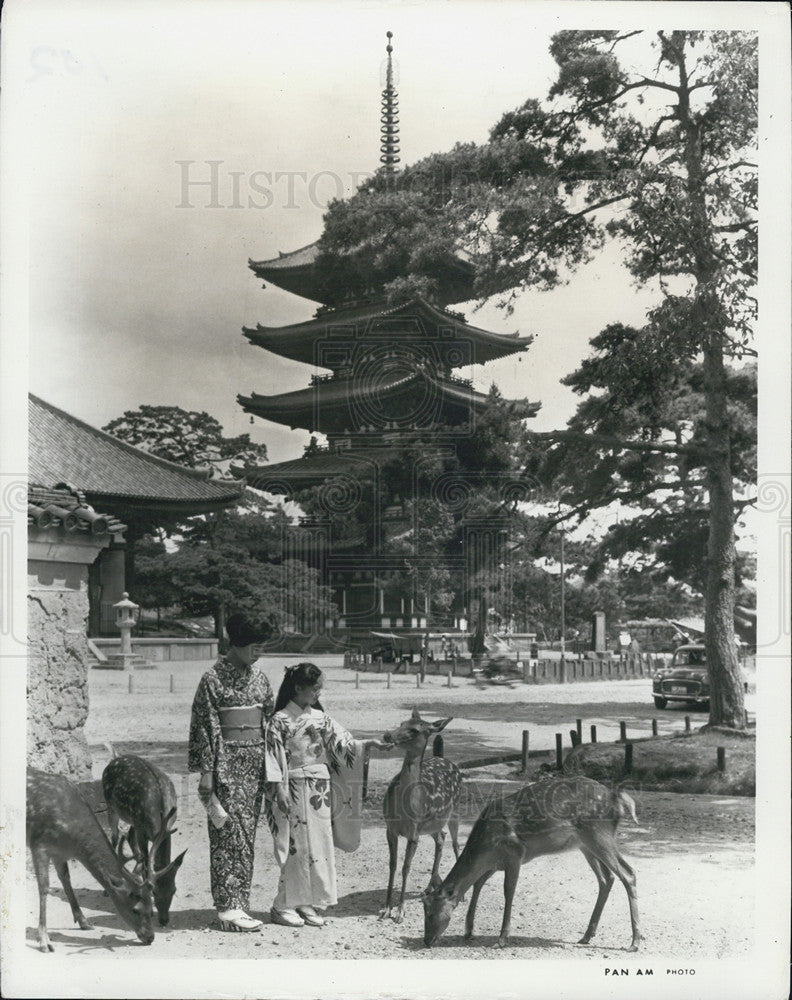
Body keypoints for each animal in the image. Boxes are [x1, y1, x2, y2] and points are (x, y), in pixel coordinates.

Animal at [25, 764, 161, 952]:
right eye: (135, 909)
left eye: (152, 909)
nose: (150, 937)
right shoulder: (39, 844)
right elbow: (44, 888)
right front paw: (44, 941)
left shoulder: (60, 852)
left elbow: (65, 878)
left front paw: (83, 921)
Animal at [101, 752, 186, 924]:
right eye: (154, 892)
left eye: (174, 890)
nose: (164, 920)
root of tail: (115, 758)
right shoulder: (142, 831)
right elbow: (147, 862)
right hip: (111, 806)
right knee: (115, 837)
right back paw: (108, 888)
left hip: (132, 818)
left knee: (129, 835)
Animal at [378, 712, 464, 920]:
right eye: (402, 722)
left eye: (415, 730)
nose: (388, 735)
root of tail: (442, 757)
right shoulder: (390, 829)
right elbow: (393, 865)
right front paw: (386, 908)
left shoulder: (413, 833)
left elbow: (405, 867)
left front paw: (400, 911)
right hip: (432, 824)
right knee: (441, 838)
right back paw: (431, 885)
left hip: (455, 809)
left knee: (455, 843)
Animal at [424, 772, 640, 952]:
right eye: (424, 910)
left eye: (431, 914)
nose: (426, 941)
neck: (486, 846)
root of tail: (616, 799)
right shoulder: (495, 863)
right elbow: (477, 884)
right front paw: (469, 931)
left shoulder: (514, 854)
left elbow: (508, 891)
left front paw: (502, 939)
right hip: (586, 845)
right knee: (607, 879)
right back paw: (587, 935)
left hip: (599, 835)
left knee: (628, 873)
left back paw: (635, 942)